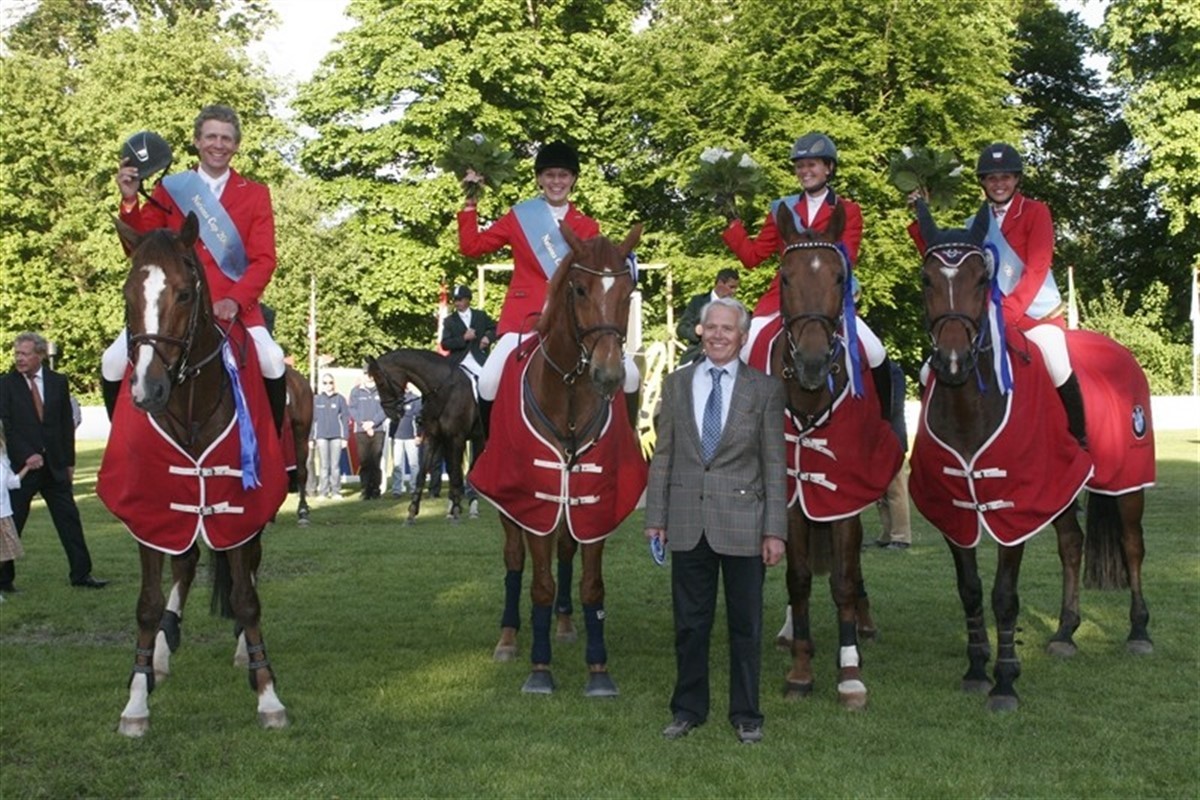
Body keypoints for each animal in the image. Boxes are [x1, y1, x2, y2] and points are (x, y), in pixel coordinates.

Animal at [99, 212, 290, 736]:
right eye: (127, 294)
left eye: (185, 294)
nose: (147, 391)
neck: (188, 403)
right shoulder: (150, 505)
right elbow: (147, 604)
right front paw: (136, 700)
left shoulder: (242, 505)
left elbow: (246, 598)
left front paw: (267, 693)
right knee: (184, 563)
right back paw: (161, 655)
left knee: (247, 569)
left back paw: (243, 650)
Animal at [367, 349, 483, 524]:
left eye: (380, 383)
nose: (391, 413)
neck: (442, 391)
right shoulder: (433, 437)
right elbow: (423, 473)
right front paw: (412, 513)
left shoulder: (456, 438)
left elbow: (456, 473)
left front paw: (456, 510)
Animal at [469, 223, 646, 695]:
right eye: (580, 289)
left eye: (628, 292)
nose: (608, 374)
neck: (568, 390)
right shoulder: (534, 496)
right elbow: (541, 584)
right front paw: (540, 669)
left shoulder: (597, 498)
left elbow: (591, 585)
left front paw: (598, 670)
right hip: (512, 503)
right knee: (515, 559)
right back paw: (509, 636)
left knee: (565, 550)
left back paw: (565, 625)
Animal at [764, 204, 902, 709]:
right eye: (784, 277)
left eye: (840, 276)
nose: (811, 364)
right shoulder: (791, 499)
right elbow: (799, 578)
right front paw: (801, 670)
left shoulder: (843, 494)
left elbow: (841, 579)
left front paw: (849, 672)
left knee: (853, 569)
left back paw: (863, 623)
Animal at [909, 202, 1154, 712]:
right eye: (926, 280)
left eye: (982, 279)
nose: (953, 361)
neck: (970, 404)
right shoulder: (954, 507)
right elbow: (970, 590)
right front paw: (976, 668)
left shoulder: (1016, 505)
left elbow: (1004, 595)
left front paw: (1004, 681)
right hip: (1060, 486)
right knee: (1072, 545)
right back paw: (1065, 631)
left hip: (1127, 481)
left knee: (1132, 545)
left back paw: (1139, 631)